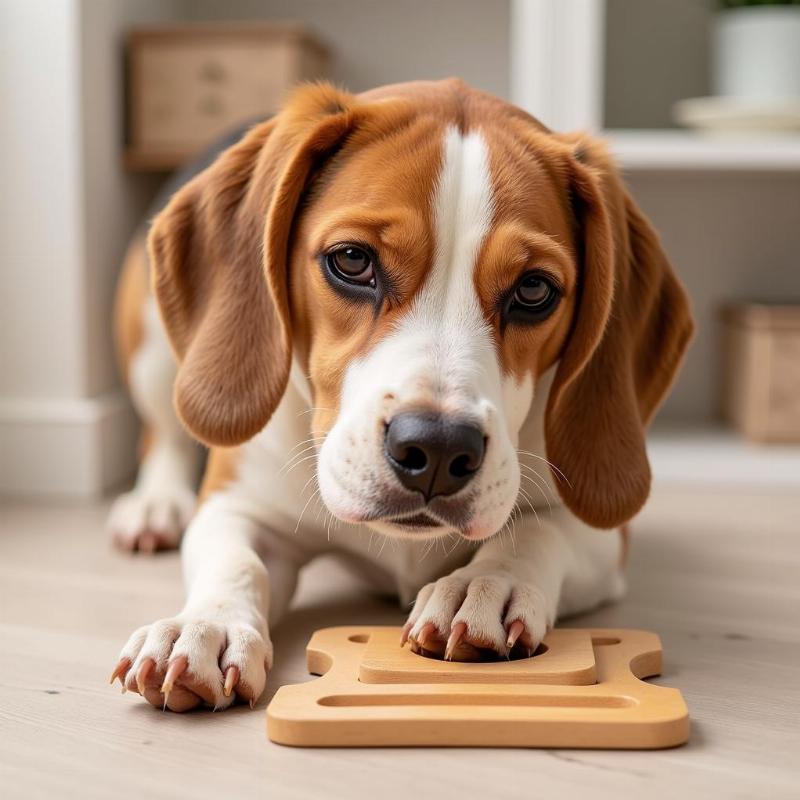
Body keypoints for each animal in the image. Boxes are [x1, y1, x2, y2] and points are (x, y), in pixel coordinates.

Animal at [108, 81, 692, 712]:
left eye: (535, 289)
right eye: (352, 260)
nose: (437, 450)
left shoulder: (604, 535)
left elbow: (537, 531)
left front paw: (486, 583)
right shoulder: (239, 505)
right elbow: (235, 563)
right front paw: (205, 626)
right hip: (153, 350)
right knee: (163, 433)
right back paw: (155, 505)